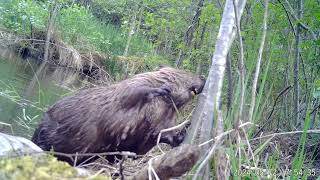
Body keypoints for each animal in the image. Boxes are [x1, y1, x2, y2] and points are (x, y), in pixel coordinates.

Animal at [31, 66, 205, 165]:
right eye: (187, 72)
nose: (203, 78)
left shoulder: (162, 120)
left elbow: (156, 136)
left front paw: (184, 131)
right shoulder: (129, 86)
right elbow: (132, 93)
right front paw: (162, 89)